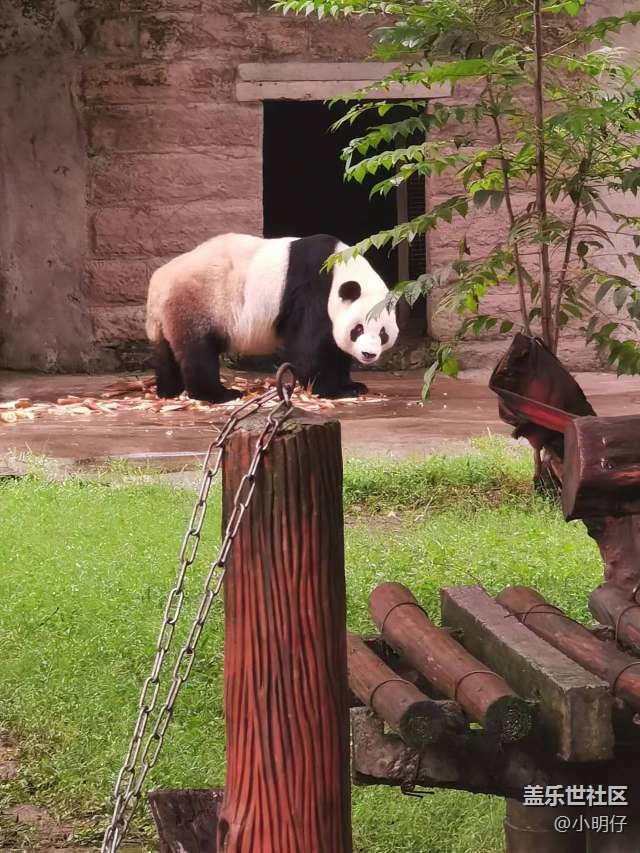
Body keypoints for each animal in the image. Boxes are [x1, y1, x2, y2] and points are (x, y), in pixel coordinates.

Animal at [146, 232, 399, 403]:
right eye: (358, 329)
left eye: (383, 333)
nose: (368, 354)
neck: (343, 269)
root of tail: (158, 283)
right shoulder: (313, 290)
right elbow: (309, 346)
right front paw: (331, 389)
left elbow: (335, 347)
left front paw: (352, 385)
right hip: (198, 303)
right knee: (198, 353)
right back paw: (217, 394)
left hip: (172, 315)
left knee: (167, 352)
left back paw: (169, 391)